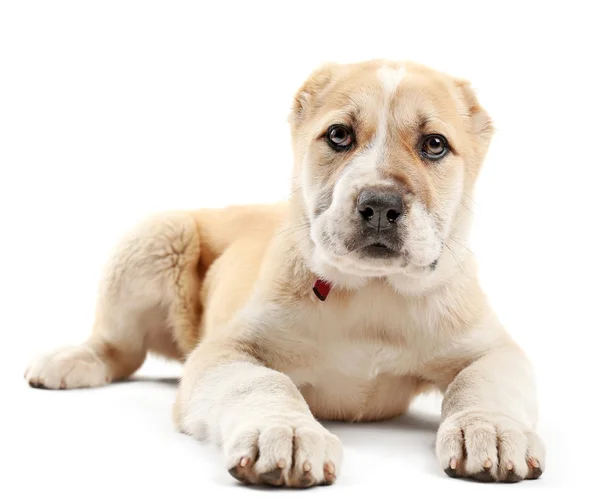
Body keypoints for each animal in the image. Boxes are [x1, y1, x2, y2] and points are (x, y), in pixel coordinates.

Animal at [25, 59, 548, 488]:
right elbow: (263, 383)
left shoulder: (493, 349)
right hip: (158, 236)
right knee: (120, 348)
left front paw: (492, 429)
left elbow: (480, 383)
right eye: (338, 135)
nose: (380, 205)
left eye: (434, 145)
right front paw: (287, 433)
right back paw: (71, 361)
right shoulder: (226, 351)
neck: (372, 292)